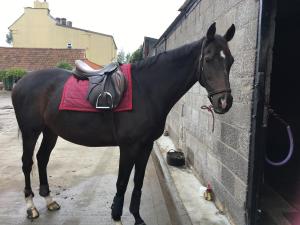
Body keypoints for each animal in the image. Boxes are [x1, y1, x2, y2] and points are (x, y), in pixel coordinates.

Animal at [11, 23, 236, 225]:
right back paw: (31, 207)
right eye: (208, 59)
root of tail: (20, 82)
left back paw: (49, 200)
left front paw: (137, 218)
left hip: (50, 131)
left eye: (231, 61)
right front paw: (117, 216)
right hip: (31, 132)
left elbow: (137, 182)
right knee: (27, 162)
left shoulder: (145, 146)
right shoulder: (129, 147)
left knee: (42, 159)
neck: (147, 89)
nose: (224, 102)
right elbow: (122, 182)